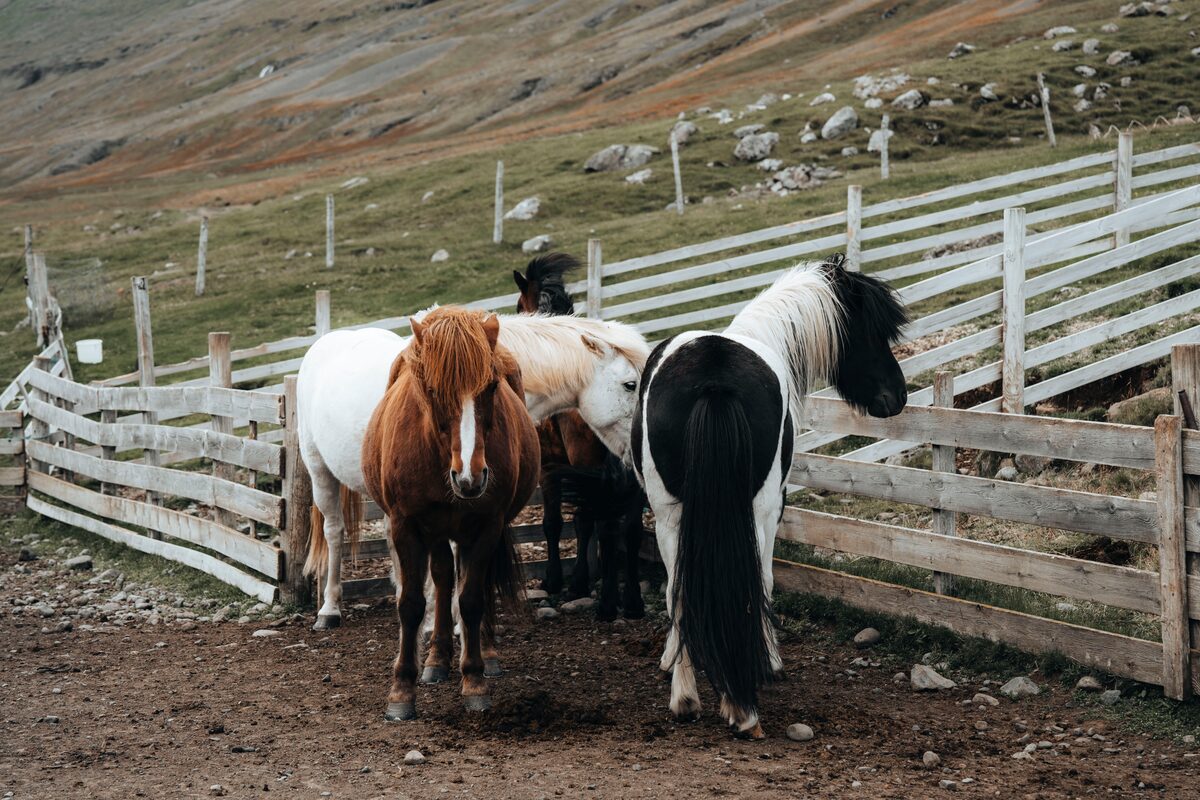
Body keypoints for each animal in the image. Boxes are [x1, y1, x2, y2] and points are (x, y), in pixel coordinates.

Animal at [359, 307, 539, 719]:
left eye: (491, 387)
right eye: (431, 390)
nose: (471, 477)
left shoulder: (488, 526)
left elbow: (471, 599)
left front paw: (474, 680)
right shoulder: (406, 525)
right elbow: (411, 604)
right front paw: (402, 691)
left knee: (475, 585)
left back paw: (485, 653)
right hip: (437, 530)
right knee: (442, 578)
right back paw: (436, 658)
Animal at [513, 253, 647, 620]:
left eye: (517, 306)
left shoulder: (549, 468)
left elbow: (555, 522)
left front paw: (559, 580)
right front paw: (581, 581)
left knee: (605, 525)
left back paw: (609, 604)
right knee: (629, 528)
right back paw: (632, 602)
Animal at [632, 255, 908, 738]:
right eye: (870, 331)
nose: (898, 396)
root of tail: (714, 376)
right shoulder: (774, 506)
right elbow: (764, 580)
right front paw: (771, 661)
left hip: (669, 514)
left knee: (678, 593)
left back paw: (686, 698)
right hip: (757, 508)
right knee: (748, 580)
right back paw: (737, 704)